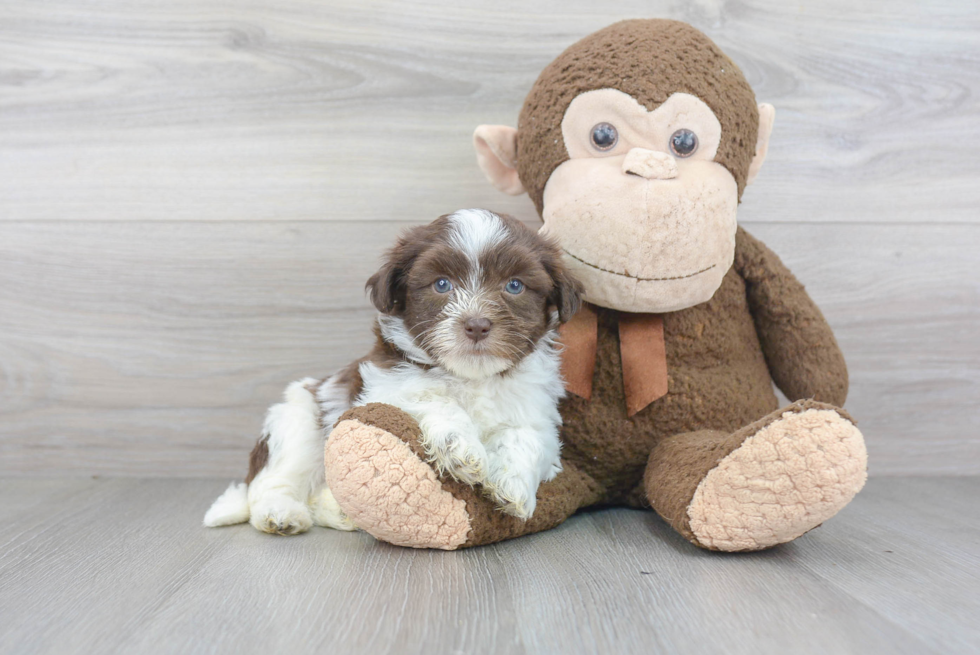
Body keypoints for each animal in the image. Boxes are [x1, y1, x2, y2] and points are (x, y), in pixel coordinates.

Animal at [202, 210, 580, 540]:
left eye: (514, 286)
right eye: (441, 284)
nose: (476, 324)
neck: (472, 377)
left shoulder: (539, 416)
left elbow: (524, 438)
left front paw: (511, 485)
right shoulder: (385, 386)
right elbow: (430, 397)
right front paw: (460, 448)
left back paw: (339, 512)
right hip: (298, 422)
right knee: (272, 482)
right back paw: (280, 514)